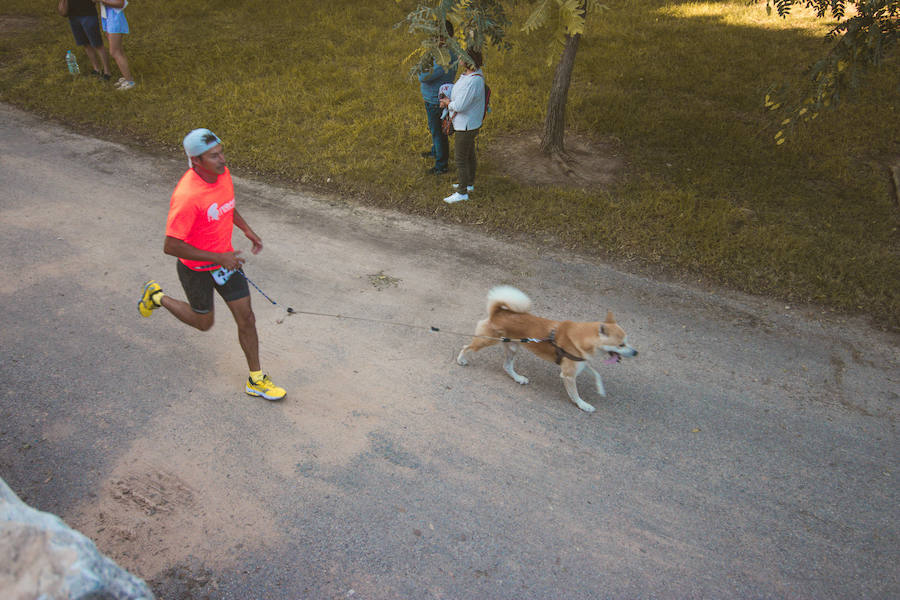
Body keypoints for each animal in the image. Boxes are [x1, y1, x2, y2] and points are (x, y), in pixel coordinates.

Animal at [454, 288, 636, 412]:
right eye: (621, 344)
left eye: (627, 341)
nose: (635, 352)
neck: (583, 337)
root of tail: (498, 311)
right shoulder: (569, 374)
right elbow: (575, 394)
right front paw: (583, 405)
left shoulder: (580, 363)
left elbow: (596, 374)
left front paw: (600, 389)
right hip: (487, 340)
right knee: (466, 347)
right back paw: (461, 359)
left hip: (512, 348)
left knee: (507, 366)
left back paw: (518, 378)